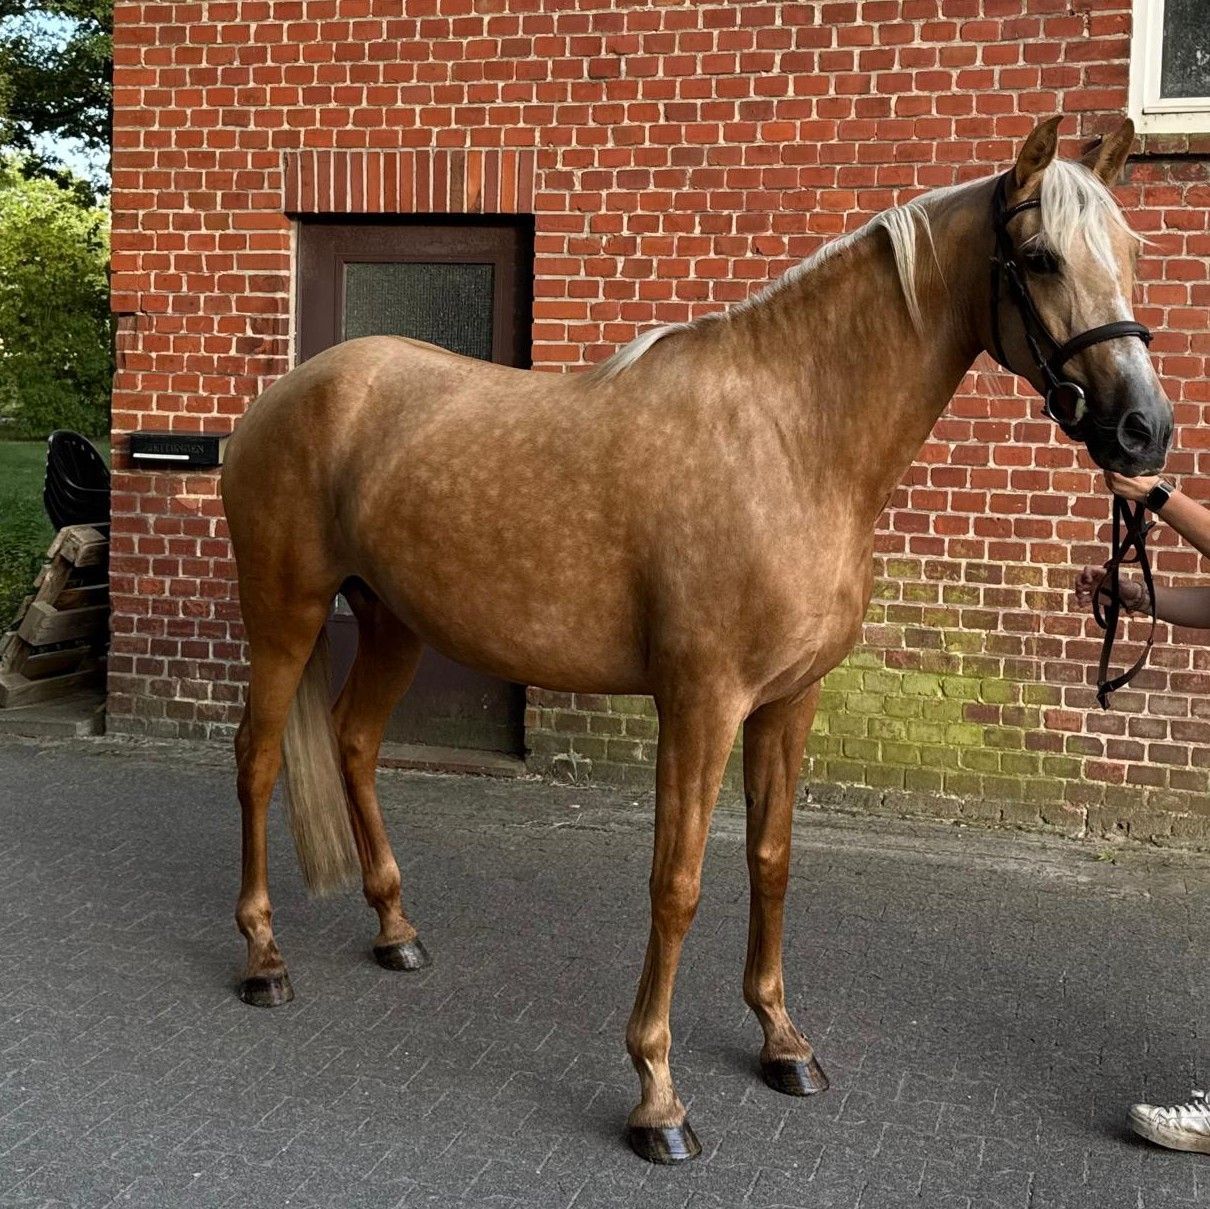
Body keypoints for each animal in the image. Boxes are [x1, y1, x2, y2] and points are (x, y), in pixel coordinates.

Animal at [220, 116, 1172, 1163]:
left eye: (1131, 253)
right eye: (1040, 258)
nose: (1144, 430)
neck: (791, 440)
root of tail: (283, 396)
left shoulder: (790, 700)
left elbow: (772, 859)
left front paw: (783, 1041)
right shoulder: (702, 702)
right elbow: (676, 883)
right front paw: (657, 1093)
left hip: (394, 620)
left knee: (353, 740)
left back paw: (396, 929)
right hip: (286, 615)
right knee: (258, 758)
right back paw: (263, 957)